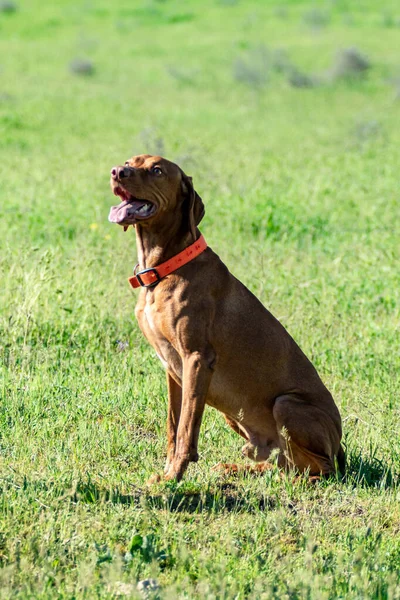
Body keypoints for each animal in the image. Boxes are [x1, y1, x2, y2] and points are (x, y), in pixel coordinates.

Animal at [108, 156, 344, 482]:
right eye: (129, 161)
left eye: (157, 170)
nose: (117, 172)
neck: (165, 269)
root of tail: (340, 443)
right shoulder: (172, 368)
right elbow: (172, 426)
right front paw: (167, 472)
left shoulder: (197, 359)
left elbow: (186, 429)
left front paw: (174, 477)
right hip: (234, 414)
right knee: (282, 461)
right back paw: (239, 468)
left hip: (286, 404)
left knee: (318, 468)